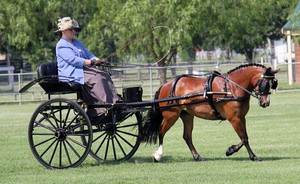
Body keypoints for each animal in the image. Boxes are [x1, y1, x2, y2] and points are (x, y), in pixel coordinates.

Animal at [141, 64, 278, 162]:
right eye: (265, 84)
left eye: (273, 84)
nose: (265, 103)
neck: (231, 88)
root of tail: (166, 85)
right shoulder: (234, 118)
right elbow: (244, 138)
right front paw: (253, 156)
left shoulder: (241, 117)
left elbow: (245, 137)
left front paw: (230, 150)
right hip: (171, 116)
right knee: (161, 132)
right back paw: (158, 155)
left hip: (187, 115)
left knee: (187, 136)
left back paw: (197, 157)